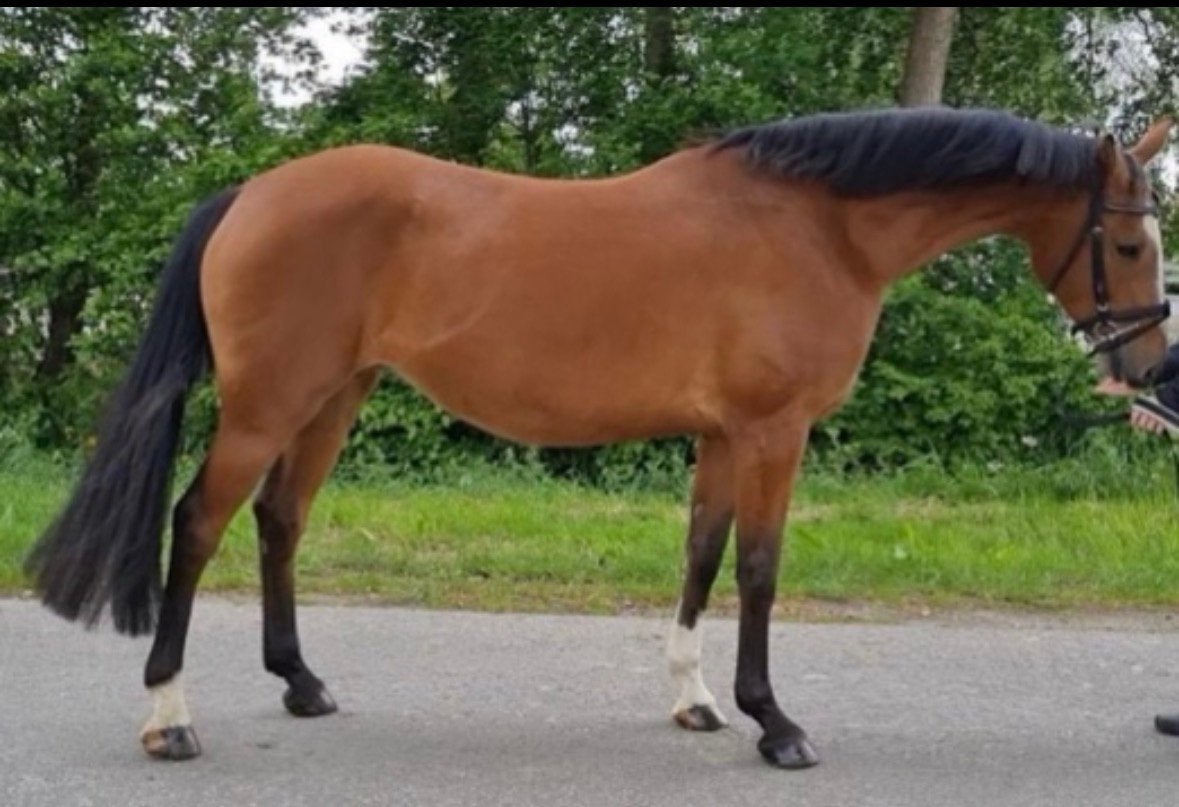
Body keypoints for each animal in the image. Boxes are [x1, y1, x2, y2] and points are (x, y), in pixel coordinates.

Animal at [26, 108, 1173, 769]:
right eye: (1126, 243)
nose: (1150, 371)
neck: (819, 227)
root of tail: (253, 192)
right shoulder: (773, 432)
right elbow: (759, 570)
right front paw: (776, 723)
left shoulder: (723, 435)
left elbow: (703, 556)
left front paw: (699, 702)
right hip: (270, 403)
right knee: (197, 523)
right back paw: (169, 716)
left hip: (332, 398)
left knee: (279, 521)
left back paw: (301, 685)